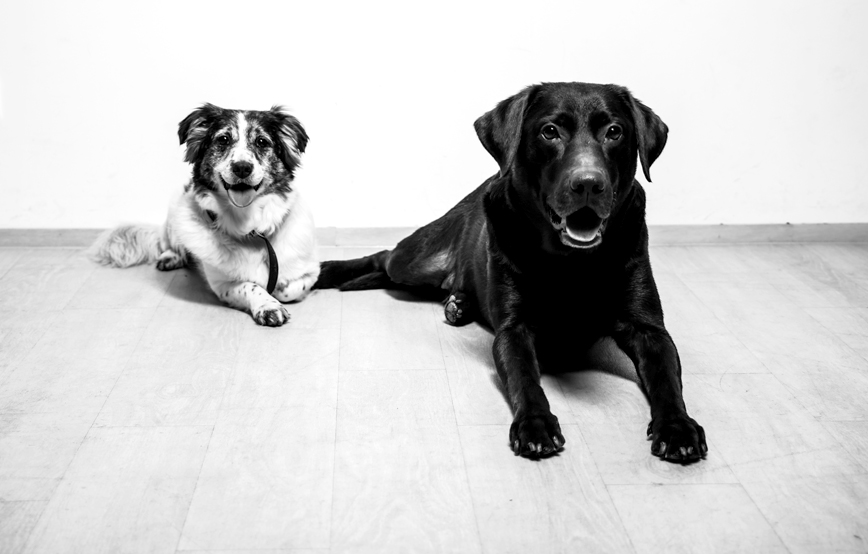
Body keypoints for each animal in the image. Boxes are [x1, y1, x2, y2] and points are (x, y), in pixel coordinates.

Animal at [90, 103, 320, 324]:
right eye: (223, 139)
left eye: (262, 142)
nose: (242, 168)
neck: (249, 228)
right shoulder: (222, 284)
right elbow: (250, 286)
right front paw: (268, 305)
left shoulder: (310, 271)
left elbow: (289, 288)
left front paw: (280, 291)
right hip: (175, 211)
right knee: (168, 243)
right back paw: (171, 256)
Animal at [318, 82, 704, 462]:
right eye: (550, 131)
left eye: (614, 132)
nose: (588, 184)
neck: (571, 261)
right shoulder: (514, 330)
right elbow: (523, 377)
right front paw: (535, 424)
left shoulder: (649, 329)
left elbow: (667, 377)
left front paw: (677, 425)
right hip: (416, 261)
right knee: (385, 258)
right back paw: (325, 271)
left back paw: (458, 303)